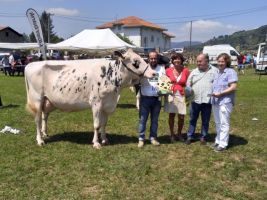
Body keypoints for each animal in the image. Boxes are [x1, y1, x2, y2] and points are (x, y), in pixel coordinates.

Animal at [24, 48, 156, 148]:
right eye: (135, 61)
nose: (153, 73)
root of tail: (30, 64)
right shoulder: (96, 103)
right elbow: (97, 125)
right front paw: (96, 143)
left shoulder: (107, 104)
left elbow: (104, 123)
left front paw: (105, 139)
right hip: (36, 99)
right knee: (37, 119)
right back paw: (40, 140)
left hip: (48, 101)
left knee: (44, 116)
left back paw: (45, 133)